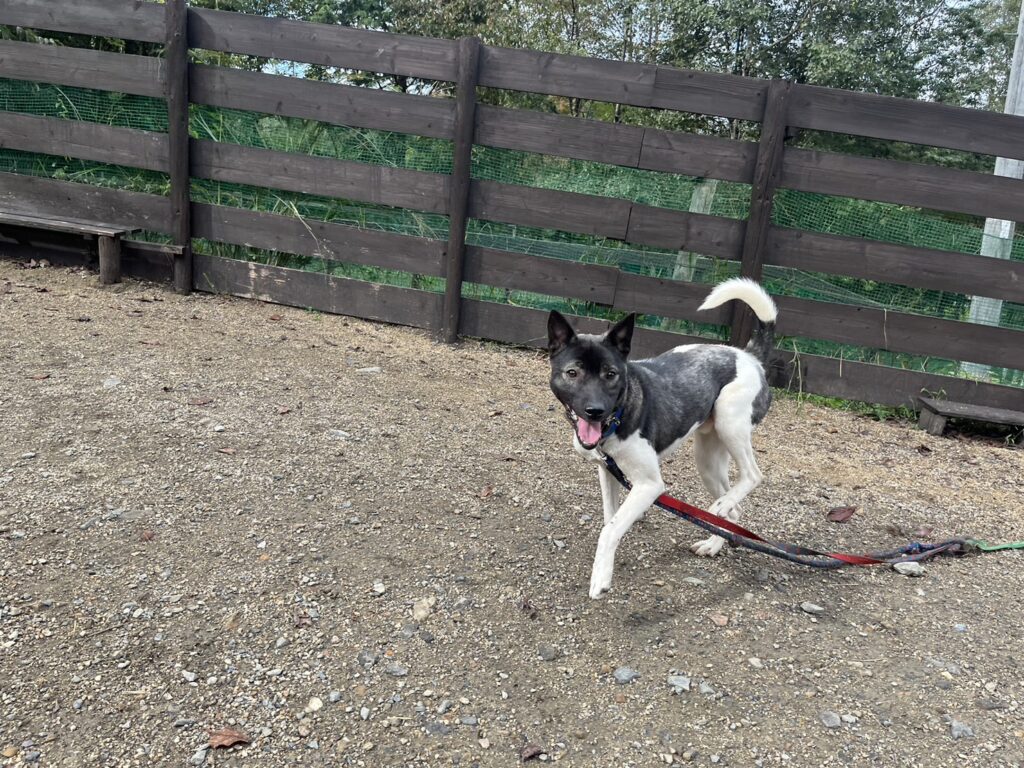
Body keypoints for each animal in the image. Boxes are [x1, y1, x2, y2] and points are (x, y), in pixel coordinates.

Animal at [547, 278, 778, 599]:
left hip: (731, 423)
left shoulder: (650, 485)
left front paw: (600, 579)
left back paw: (723, 506)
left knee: (753, 475)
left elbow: (610, 529)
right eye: (572, 373)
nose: (595, 410)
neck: (616, 417)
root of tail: (749, 356)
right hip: (708, 459)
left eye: (611, 374)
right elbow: (610, 518)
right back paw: (714, 542)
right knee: (732, 508)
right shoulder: (607, 469)